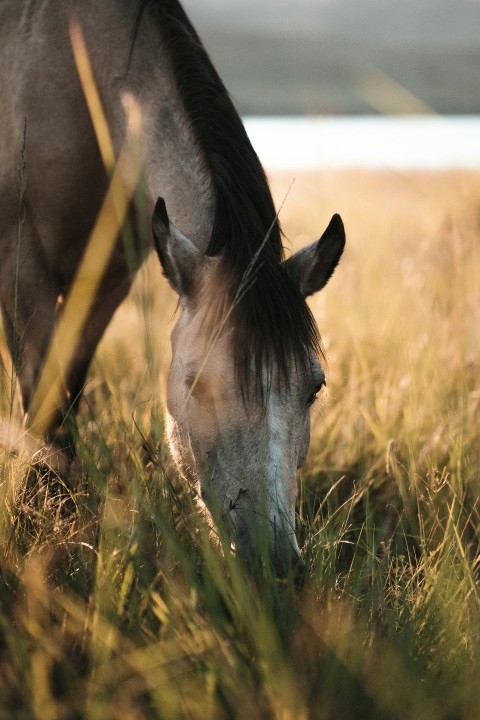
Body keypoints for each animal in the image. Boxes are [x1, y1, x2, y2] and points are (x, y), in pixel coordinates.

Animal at [0, 0, 345, 574]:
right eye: (196, 383)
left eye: (314, 387)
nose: (275, 565)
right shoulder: (18, 260)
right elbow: (44, 397)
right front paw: (46, 510)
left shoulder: (109, 276)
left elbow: (70, 383)